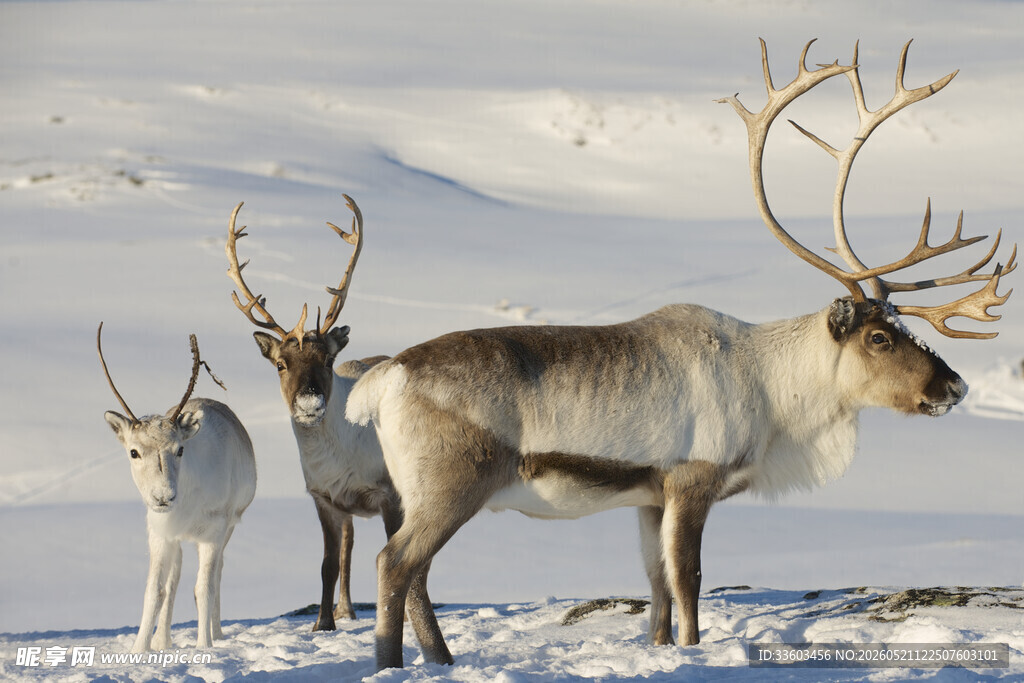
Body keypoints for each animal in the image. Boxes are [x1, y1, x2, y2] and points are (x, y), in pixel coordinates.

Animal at [98, 323, 257, 653]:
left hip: (228, 527)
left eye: (180, 449)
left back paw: (216, 634)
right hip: (177, 539)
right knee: (174, 579)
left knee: (216, 575)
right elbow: (155, 590)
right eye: (133, 452)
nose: (163, 497)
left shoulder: (214, 532)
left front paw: (203, 646)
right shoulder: (159, 532)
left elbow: (203, 589)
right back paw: (162, 640)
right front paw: (139, 649)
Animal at [226, 195, 429, 632]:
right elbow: (327, 565)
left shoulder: (388, 494)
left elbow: (396, 557)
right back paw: (346, 609)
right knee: (348, 549)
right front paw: (322, 624)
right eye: (280, 363)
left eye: (327, 360)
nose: (309, 403)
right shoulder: (323, 498)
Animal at [346, 40, 1016, 670]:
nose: (953, 387)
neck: (774, 391)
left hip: (418, 494)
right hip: (451, 484)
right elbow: (689, 581)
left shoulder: (649, 497)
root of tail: (385, 376)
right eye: (879, 338)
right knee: (394, 563)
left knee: (417, 575)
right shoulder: (693, 480)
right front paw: (694, 650)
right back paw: (393, 663)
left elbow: (657, 590)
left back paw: (441, 660)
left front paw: (661, 649)